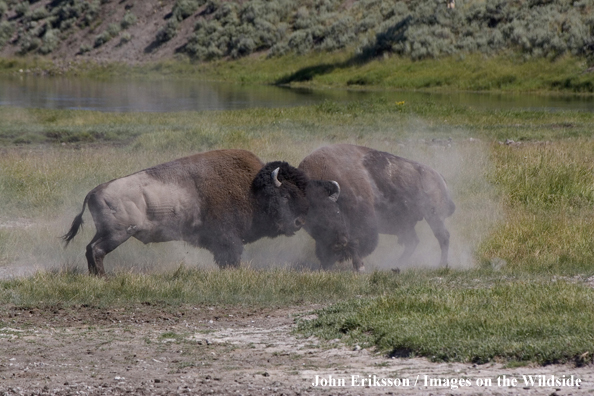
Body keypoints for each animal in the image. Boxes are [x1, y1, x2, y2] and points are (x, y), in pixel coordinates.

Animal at [63, 148, 320, 276]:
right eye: (285, 195)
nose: (299, 222)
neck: (252, 188)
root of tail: (93, 192)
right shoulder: (228, 240)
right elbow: (230, 256)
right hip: (118, 234)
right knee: (96, 250)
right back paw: (103, 277)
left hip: (105, 232)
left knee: (89, 249)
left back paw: (96, 276)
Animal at [298, 145, 456, 272]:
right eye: (313, 223)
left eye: (336, 212)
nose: (339, 243)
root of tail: (438, 176)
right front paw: (324, 267)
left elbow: (356, 245)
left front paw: (360, 267)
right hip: (406, 225)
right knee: (413, 242)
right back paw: (396, 264)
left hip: (433, 216)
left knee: (443, 237)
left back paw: (441, 264)